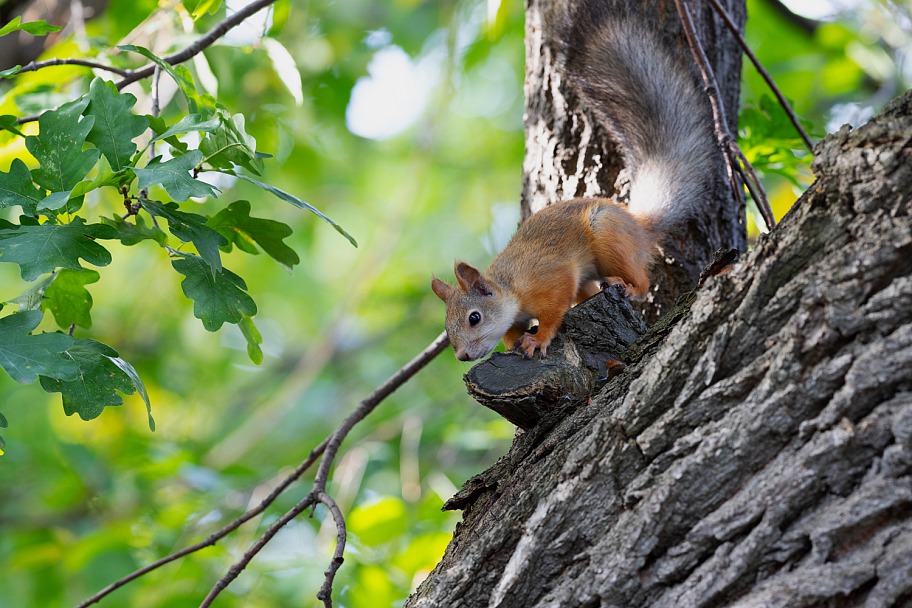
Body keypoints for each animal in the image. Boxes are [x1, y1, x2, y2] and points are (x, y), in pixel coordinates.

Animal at [432, 8, 716, 360]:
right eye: (448, 328)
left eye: (474, 318)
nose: (463, 356)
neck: (512, 289)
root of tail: (637, 224)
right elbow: (511, 330)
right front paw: (513, 344)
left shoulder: (552, 279)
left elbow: (555, 310)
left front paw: (537, 340)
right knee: (591, 289)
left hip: (609, 237)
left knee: (641, 280)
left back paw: (629, 287)